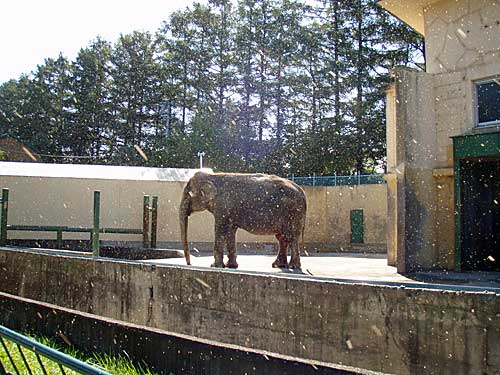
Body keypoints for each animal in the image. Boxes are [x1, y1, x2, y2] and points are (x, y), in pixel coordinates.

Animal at [178, 172, 306, 268]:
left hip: (293, 213)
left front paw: (215, 266)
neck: (211, 176)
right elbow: (230, 232)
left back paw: (293, 266)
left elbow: (220, 230)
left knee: (291, 237)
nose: (189, 264)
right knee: (282, 238)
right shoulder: (229, 211)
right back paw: (279, 265)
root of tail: (301, 190)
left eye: (187, 195)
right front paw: (231, 266)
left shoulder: (223, 206)